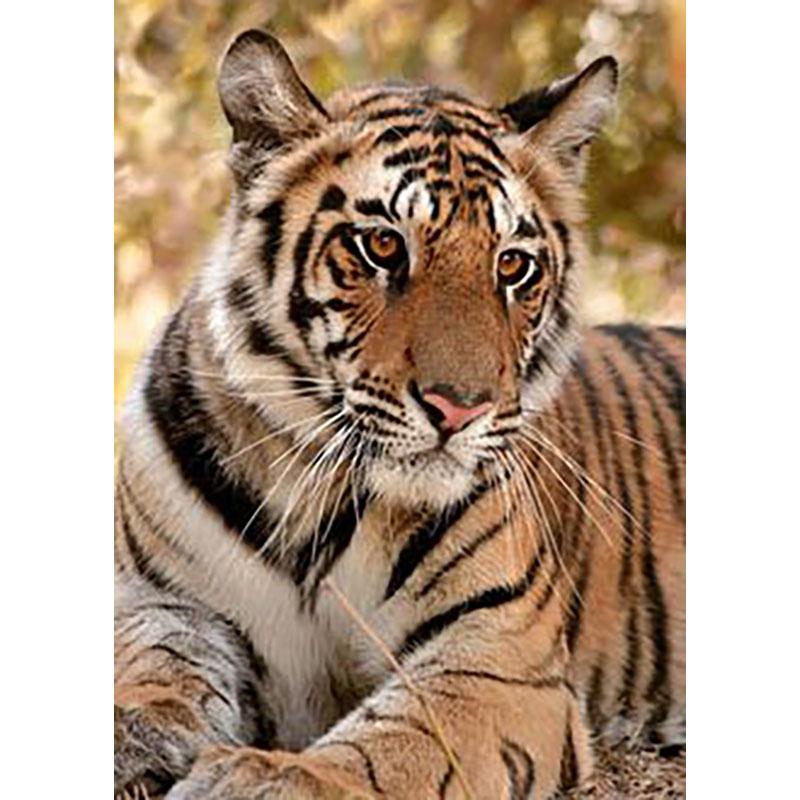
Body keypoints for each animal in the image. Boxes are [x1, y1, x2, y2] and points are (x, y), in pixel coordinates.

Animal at [114, 29, 685, 800]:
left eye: (513, 266)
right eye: (382, 245)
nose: (460, 407)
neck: (314, 497)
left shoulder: (495, 657)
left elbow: (396, 741)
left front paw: (271, 776)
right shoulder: (158, 598)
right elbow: (156, 663)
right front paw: (129, 733)